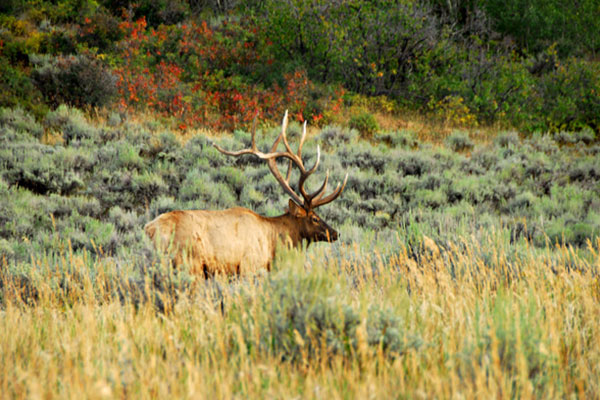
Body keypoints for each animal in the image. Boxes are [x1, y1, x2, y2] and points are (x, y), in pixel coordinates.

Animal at [144, 111, 346, 276]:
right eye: (314, 218)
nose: (335, 233)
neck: (272, 244)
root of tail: (150, 229)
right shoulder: (249, 266)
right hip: (189, 262)